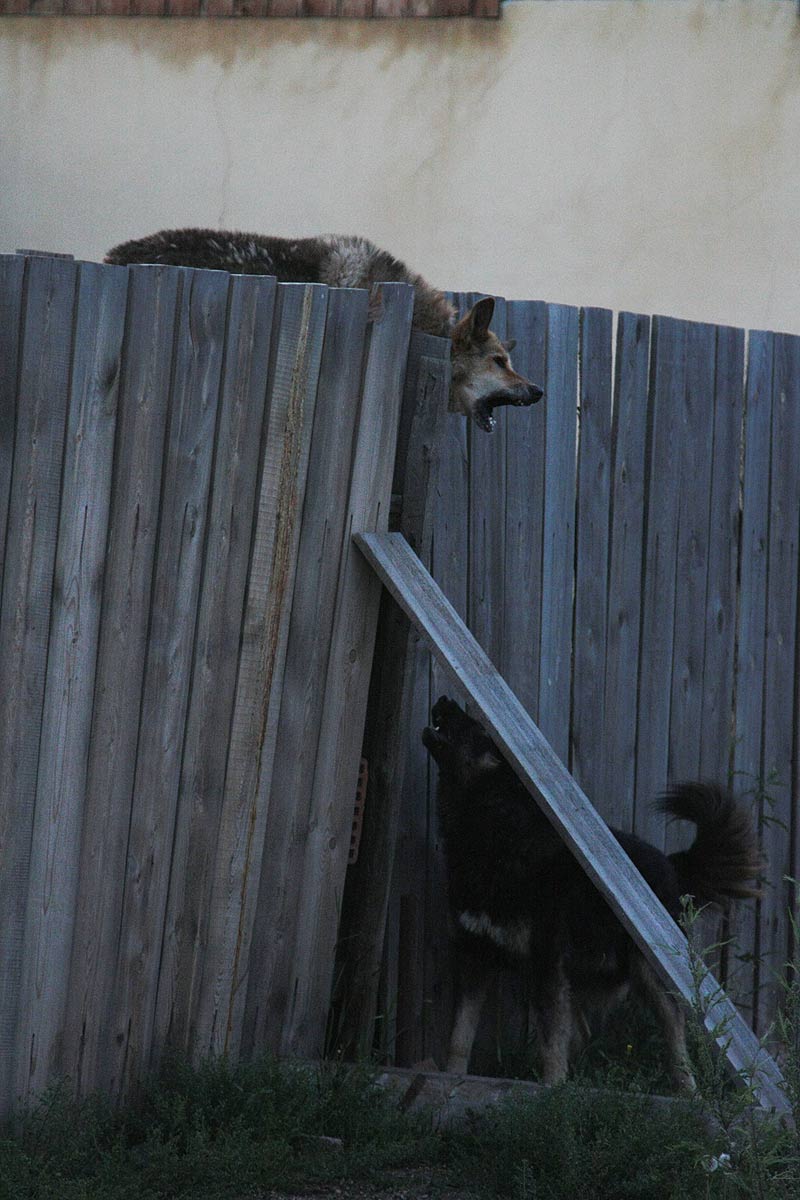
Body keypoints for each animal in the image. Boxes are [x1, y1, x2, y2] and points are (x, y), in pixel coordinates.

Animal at [422, 696, 763, 1091]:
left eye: (479, 728)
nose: (444, 699)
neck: (492, 832)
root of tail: (670, 862)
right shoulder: (476, 956)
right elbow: (460, 1034)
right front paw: (451, 1079)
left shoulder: (545, 962)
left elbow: (550, 1039)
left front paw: (551, 1089)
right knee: (583, 1032)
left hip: (649, 973)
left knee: (675, 1035)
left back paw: (688, 1091)